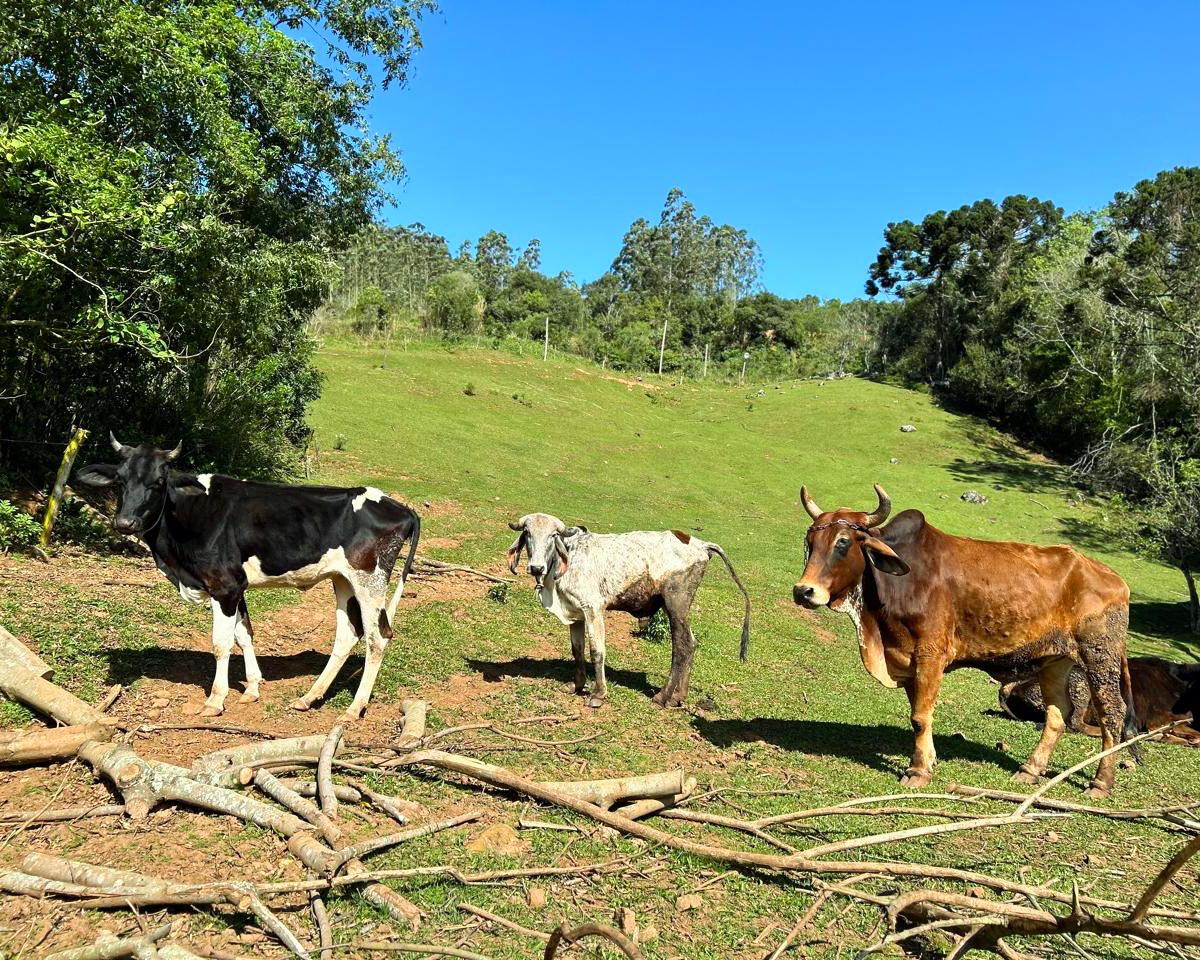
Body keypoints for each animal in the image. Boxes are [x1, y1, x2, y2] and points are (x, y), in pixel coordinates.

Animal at [75, 439, 422, 715]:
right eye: (120, 479)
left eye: (159, 482)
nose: (125, 523)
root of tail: (400, 507)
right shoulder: (235, 585)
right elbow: (244, 634)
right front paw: (253, 688)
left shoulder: (223, 586)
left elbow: (222, 643)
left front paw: (216, 700)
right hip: (343, 579)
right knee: (348, 634)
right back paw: (309, 697)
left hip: (370, 579)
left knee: (377, 637)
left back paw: (354, 708)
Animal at [506, 513, 748, 710]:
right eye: (527, 533)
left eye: (553, 535)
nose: (536, 567)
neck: (567, 558)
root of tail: (700, 544)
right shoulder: (576, 614)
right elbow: (577, 650)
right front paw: (577, 686)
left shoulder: (593, 608)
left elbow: (596, 651)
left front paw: (598, 694)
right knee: (692, 644)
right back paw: (678, 697)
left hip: (675, 604)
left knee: (683, 646)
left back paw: (663, 697)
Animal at [792, 484, 1137, 796]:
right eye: (811, 541)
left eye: (843, 542)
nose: (804, 591)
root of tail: (1116, 580)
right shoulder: (908, 661)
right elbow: (920, 714)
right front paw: (929, 761)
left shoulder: (930, 655)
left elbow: (920, 717)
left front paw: (918, 771)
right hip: (1055, 660)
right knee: (1057, 715)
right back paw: (1029, 770)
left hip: (1099, 656)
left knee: (1112, 714)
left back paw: (1100, 783)